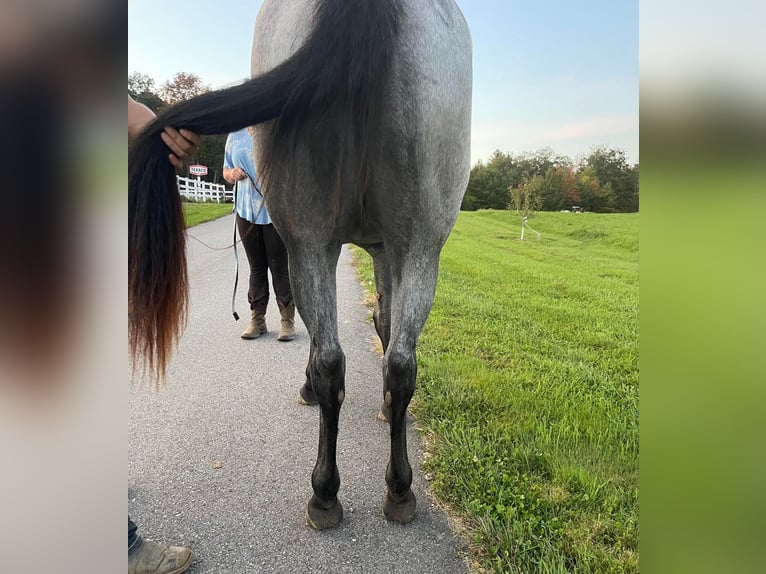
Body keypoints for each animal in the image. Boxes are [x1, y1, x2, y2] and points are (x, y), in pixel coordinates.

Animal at [129, 0, 472, 532]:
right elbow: (384, 324)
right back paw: (396, 489)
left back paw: (326, 494)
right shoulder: (386, 249)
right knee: (396, 362)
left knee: (336, 358)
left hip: (315, 243)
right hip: (417, 246)